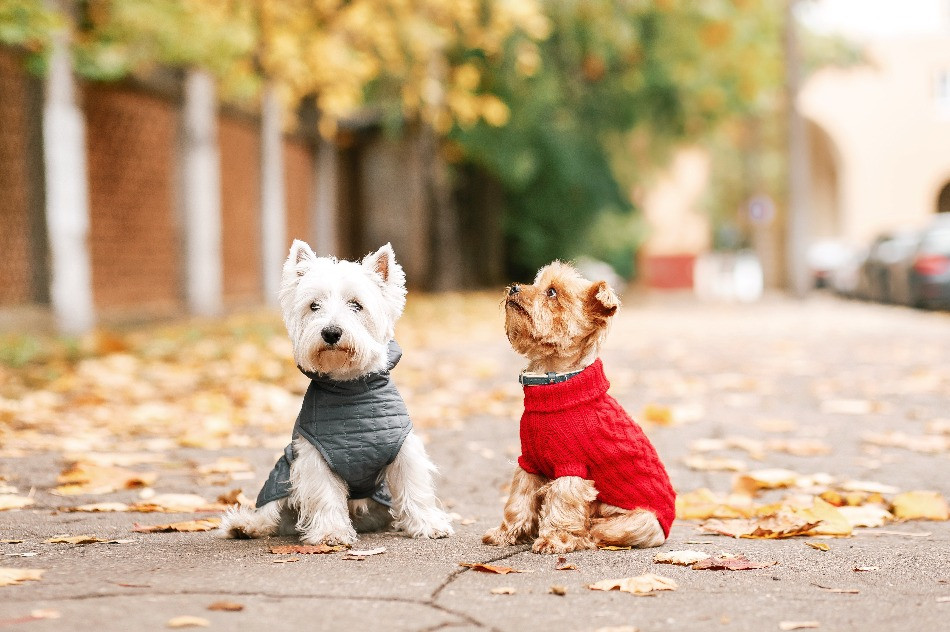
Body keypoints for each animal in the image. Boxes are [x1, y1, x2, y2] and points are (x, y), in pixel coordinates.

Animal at [225, 239, 460, 544]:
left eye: (356, 305)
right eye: (314, 306)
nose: (331, 332)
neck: (350, 389)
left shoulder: (404, 448)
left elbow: (414, 486)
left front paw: (429, 525)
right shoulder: (315, 455)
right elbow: (325, 494)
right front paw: (331, 533)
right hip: (283, 472)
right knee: (270, 509)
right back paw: (246, 525)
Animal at [484, 262, 676, 552]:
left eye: (552, 292)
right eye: (535, 283)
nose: (515, 287)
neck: (554, 383)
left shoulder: (571, 468)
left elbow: (562, 506)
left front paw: (552, 539)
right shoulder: (529, 463)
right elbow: (518, 500)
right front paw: (505, 534)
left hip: (637, 521)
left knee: (595, 530)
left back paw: (580, 537)